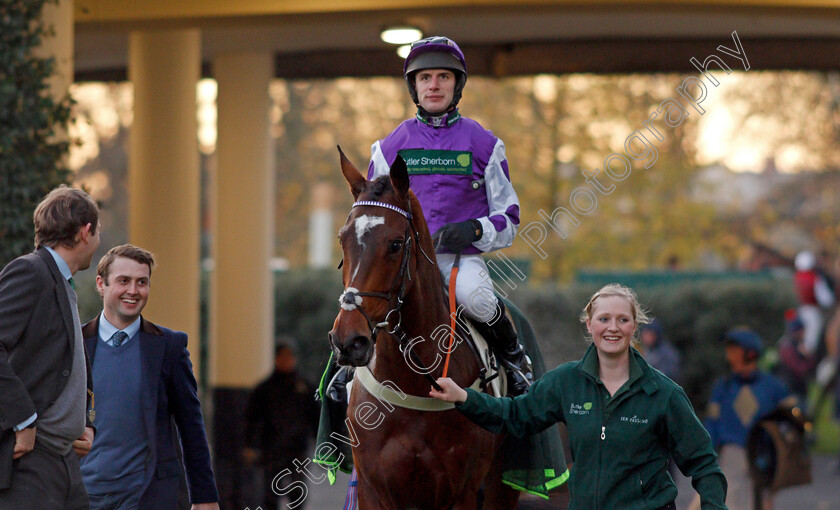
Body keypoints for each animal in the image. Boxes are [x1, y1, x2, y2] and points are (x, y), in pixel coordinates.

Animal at [328, 148, 520, 510]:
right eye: (343, 239)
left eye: (395, 244)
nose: (349, 341)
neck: (412, 384)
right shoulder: (373, 489)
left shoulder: (461, 492)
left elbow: (508, 215)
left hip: (501, 488)